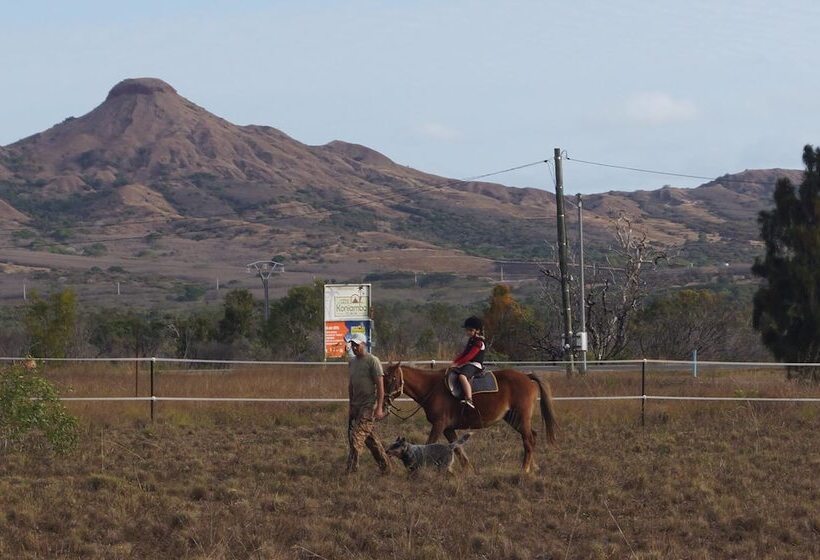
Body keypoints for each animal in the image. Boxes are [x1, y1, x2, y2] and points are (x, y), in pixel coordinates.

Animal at [384, 364, 556, 472]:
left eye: (393, 378)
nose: (385, 400)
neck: (432, 387)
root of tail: (527, 377)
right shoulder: (447, 428)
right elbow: (458, 449)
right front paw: (469, 470)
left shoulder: (439, 425)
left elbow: (430, 444)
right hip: (514, 419)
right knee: (532, 437)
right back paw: (533, 467)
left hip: (520, 418)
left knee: (528, 441)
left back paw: (525, 469)